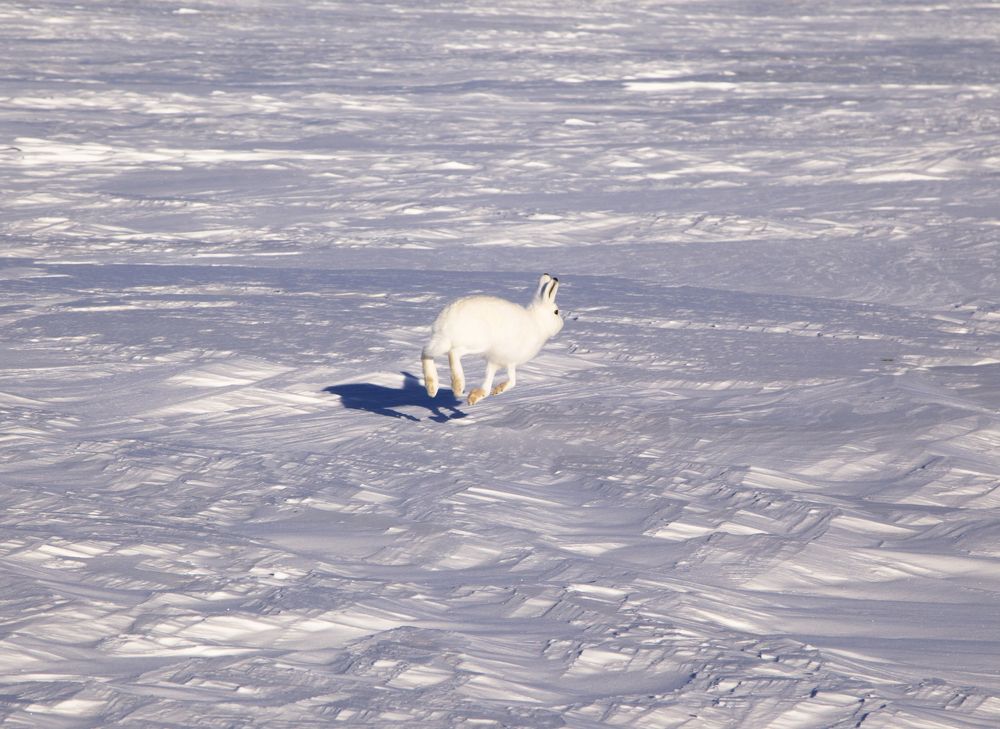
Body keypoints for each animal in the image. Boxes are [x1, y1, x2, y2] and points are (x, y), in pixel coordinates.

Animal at [422, 274, 564, 405]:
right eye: (556, 312)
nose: (562, 324)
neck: (538, 322)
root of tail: (446, 321)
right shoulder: (510, 360)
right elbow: (513, 381)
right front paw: (498, 389)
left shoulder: (495, 361)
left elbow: (489, 384)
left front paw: (474, 398)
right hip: (477, 342)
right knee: (453, 353)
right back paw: (458, 386)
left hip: (442, 342)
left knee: (425, 352)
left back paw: (432, 387)